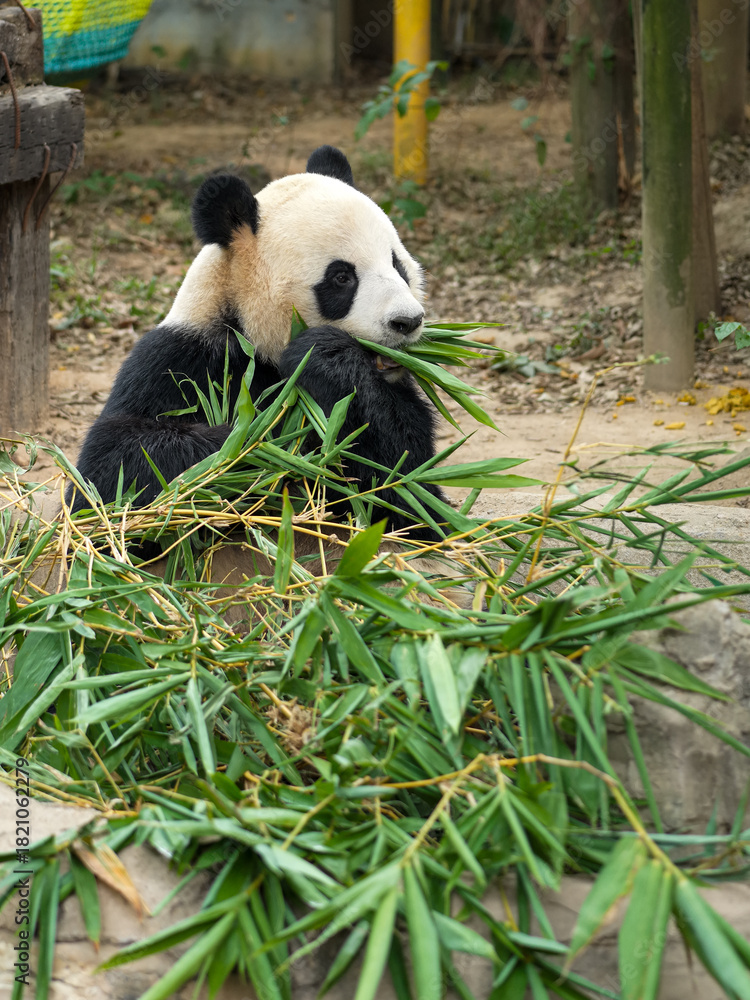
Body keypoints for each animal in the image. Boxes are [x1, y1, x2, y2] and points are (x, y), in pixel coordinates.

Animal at [69, 146, 447, 542]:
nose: (406, 321)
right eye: (342, 277)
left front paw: (324, 363)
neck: (255, 343)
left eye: (397, 264)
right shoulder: (181, 358)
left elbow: (409, 483)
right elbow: (113, 465)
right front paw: (266, 442)